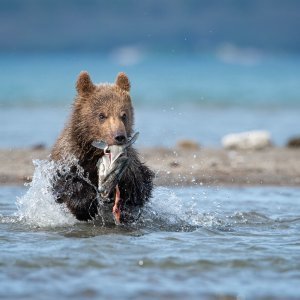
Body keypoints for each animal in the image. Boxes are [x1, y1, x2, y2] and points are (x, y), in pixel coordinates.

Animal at [50, 71, 154, 224]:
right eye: (102, 115)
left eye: (124, 115)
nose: (119, 136)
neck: (95, 152)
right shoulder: (70, 156)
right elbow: (66, 181)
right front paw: (86, 207)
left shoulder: (131, 166)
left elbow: (139, 186)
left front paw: (126, 209)